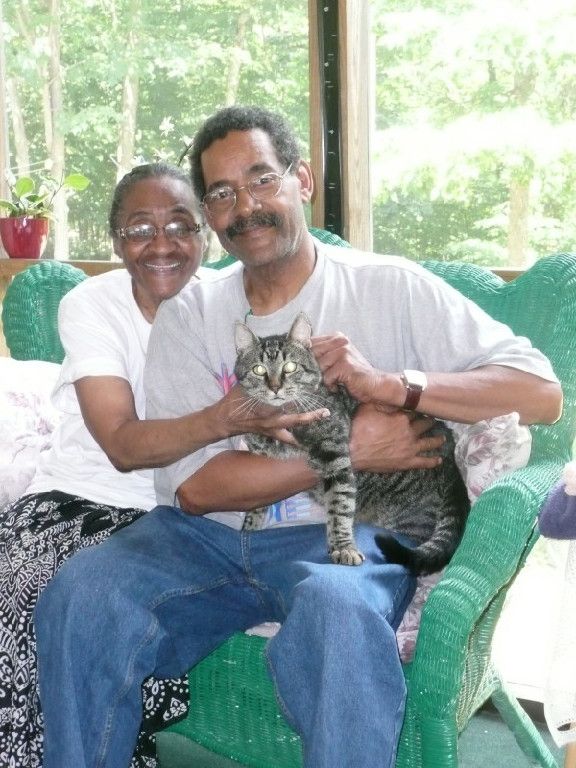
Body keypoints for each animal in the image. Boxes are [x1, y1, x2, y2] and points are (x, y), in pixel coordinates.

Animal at [233, 312, 470, 576]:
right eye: (259, 369)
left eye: (290, 367)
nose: (275, 387)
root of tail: (451, 460)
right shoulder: (260, 455)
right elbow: (258, 501)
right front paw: (250, 524)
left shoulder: (335, 455)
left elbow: (339, 506)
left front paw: (343, 546)